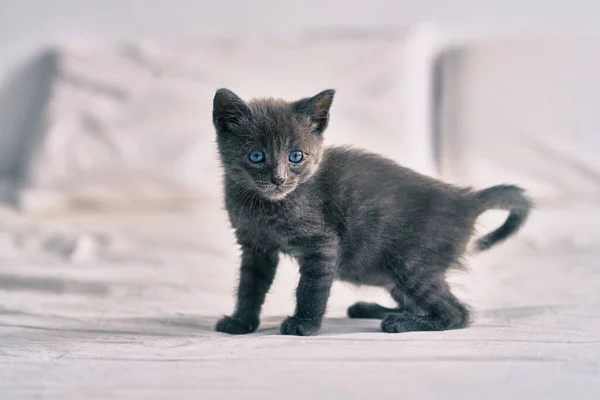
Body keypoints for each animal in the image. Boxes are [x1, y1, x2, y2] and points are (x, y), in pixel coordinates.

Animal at [213, 89, 532, 336]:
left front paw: (304, 325)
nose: (279, 179)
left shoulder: (322, 243)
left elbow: (311, 287)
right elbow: (250, 286)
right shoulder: (255, 247)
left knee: (456, 313)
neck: (266, 204)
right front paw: (241, 321)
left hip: (411, 263)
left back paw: (401, 322)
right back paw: (373, 309)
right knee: (417, 301)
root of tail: (466, 199)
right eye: (256, 156)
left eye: (296, 156)